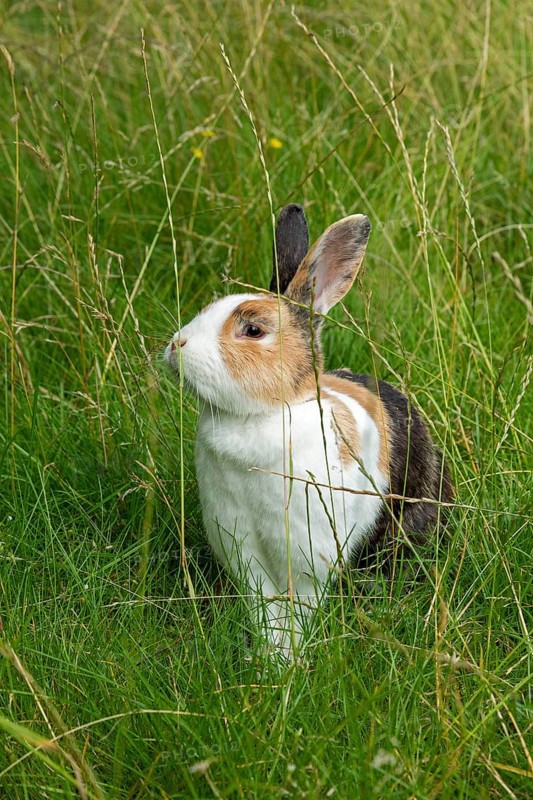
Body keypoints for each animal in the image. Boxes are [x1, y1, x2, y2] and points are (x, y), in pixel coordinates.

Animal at [165, 204, 453, 660]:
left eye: (253, 330)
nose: (177, 345)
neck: (263, 414)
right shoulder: (242, 547)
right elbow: (265, 608)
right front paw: (269, 659)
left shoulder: (309, 554)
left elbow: (301, 608)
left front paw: (290, 661)